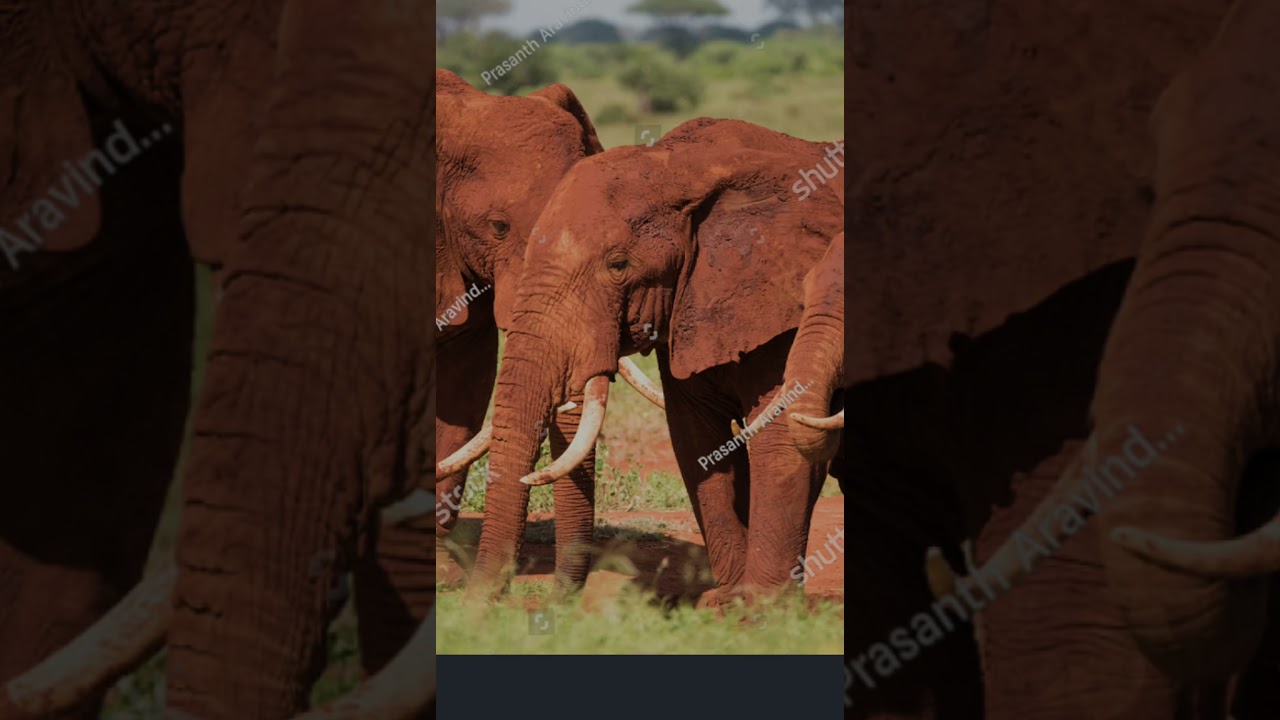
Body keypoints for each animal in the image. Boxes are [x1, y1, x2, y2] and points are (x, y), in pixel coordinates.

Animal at [462, 117, 845, 601]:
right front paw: (727, 603)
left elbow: (778, 436)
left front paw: (761, 608)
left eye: (618, 266)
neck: (681, 167)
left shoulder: (783, 308)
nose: (557, 599)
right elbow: (696, 438)